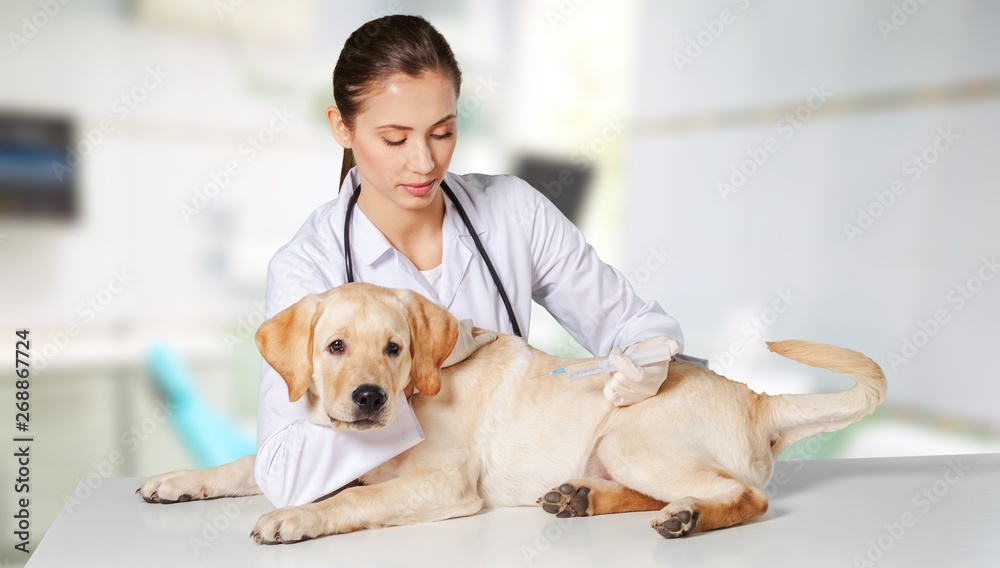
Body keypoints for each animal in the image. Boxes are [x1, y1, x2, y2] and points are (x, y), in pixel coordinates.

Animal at [137, 282, 888, 544]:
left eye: (395, 349)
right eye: (335, 347)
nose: (370, 398)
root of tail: (758, 398)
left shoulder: (445, 484)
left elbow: (353, 500)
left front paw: (297, 517)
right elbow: (244, 464)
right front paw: (176, 480)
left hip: (633, 437)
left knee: (746, 498)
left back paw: (687, 518)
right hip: (618, 450)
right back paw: (581, 497)